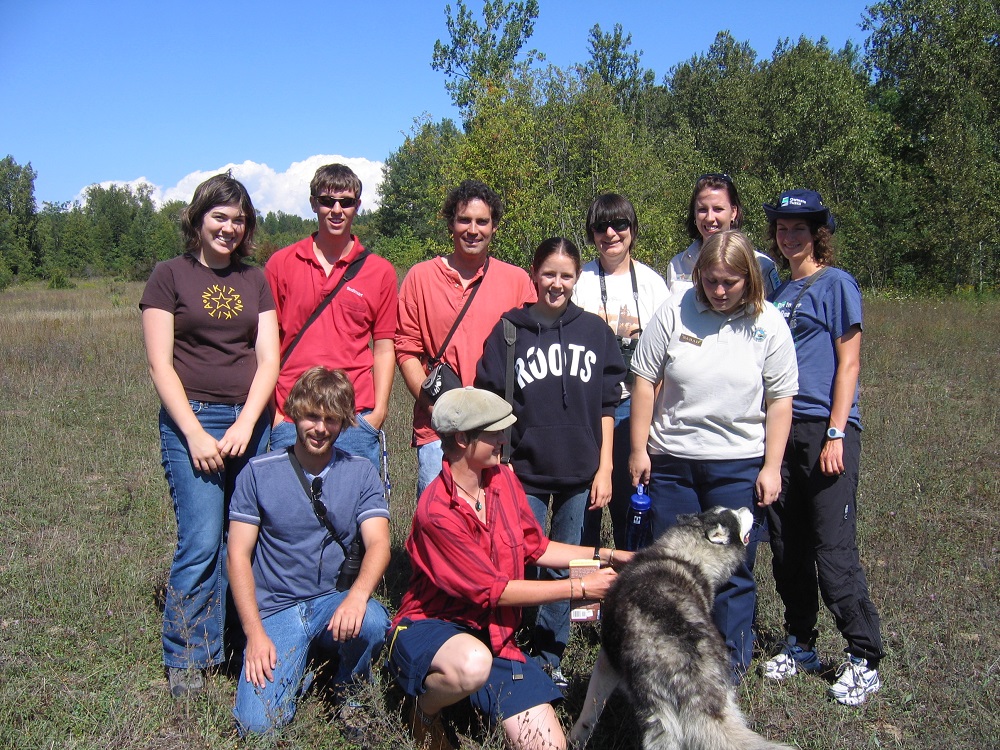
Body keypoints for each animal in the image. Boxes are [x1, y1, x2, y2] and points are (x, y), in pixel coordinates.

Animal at [572, 506, 788, 750]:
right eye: (736, 516)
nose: (747, 508)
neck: (685, 555)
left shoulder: (608, 660)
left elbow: (590, 710)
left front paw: (575, 739)